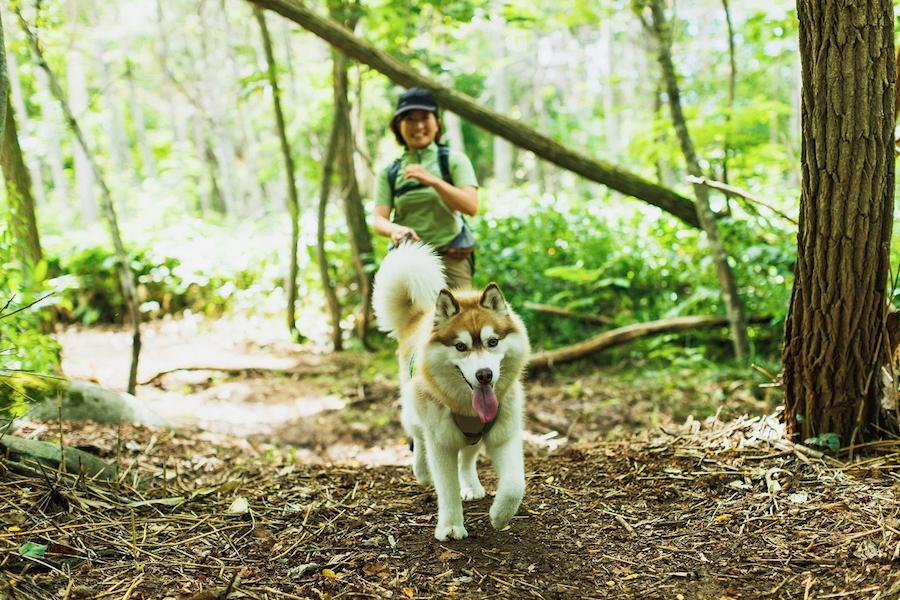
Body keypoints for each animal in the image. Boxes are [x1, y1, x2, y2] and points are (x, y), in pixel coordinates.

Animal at [370, 241, 528, 540]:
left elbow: (515, 485)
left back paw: (471, 486)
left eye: (492, 342)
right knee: (418, 438)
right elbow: (447, 487)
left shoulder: (504, 433)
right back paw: (421, 470)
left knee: (466, 459)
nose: (484, 375)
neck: (467, 408)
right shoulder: (441, 442)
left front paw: (499, 515)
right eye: (460, 346)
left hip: (473, 438)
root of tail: (418, 316)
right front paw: (452, 526)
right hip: (414, 413)